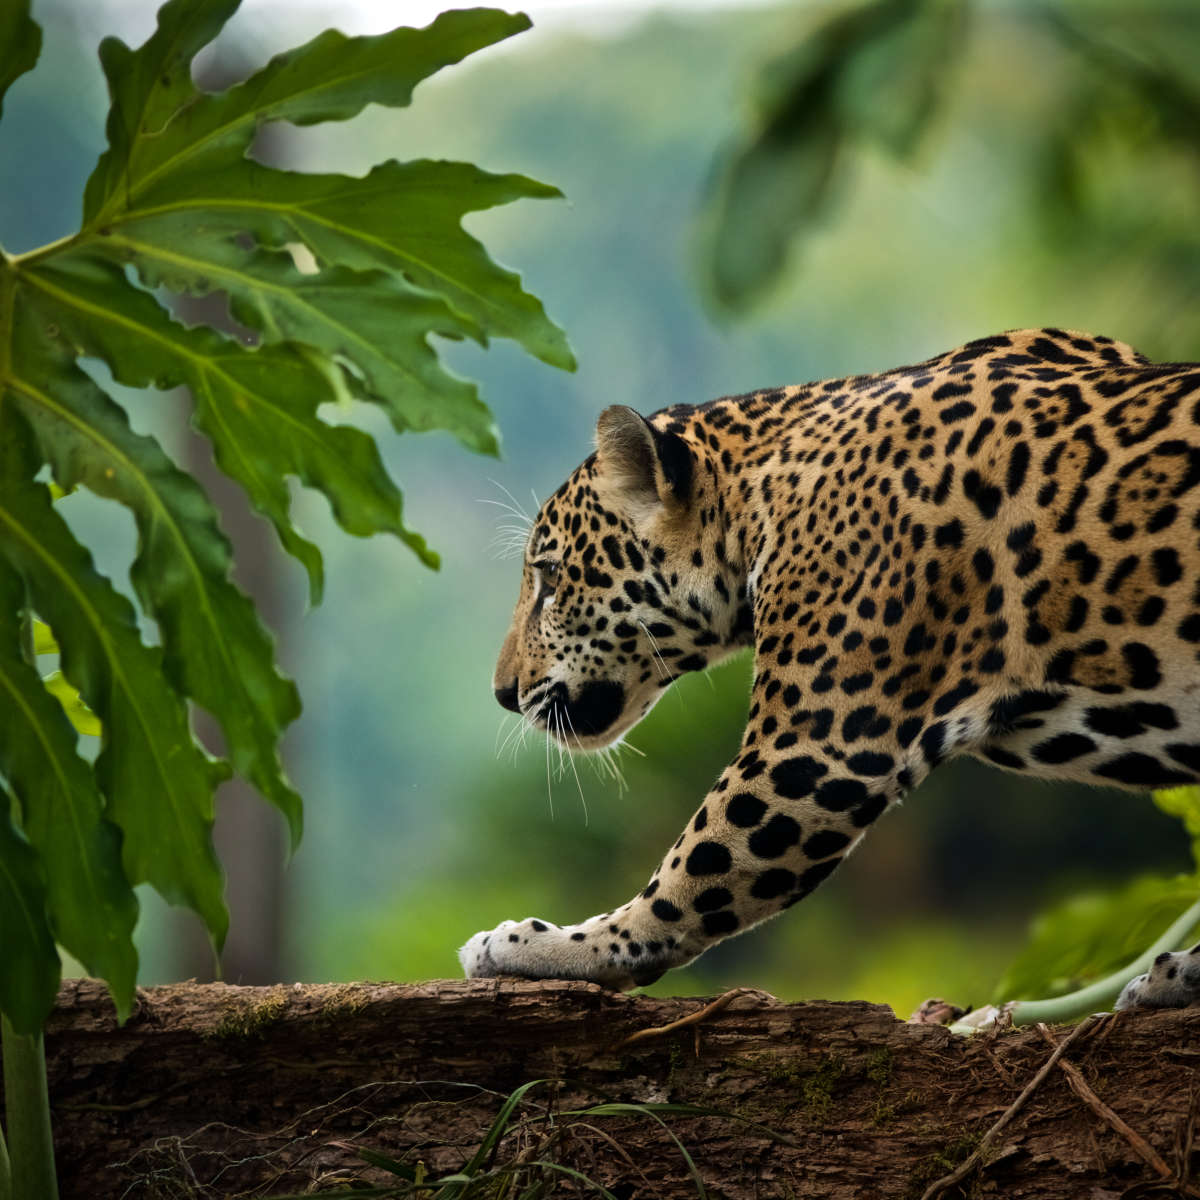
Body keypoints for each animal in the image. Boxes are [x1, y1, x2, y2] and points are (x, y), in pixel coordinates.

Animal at [459, 327, 1200, 1006]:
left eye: (551, 578)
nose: (502, 693)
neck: (757, 501)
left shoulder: (817, 750)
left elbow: (690, 875)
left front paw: (544, 946)